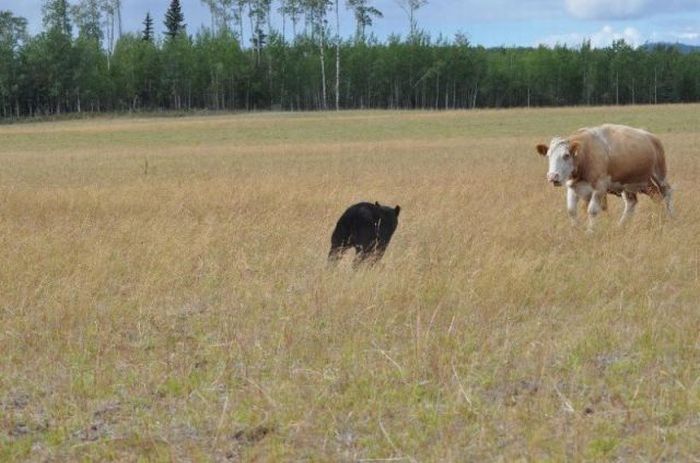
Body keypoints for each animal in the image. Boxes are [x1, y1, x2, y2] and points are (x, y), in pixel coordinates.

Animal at [536, 124, 672, 231]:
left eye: (566, 155)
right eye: (548, 155)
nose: (552, 176)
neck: (585, 154)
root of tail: (651, 136)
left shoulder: (599, 188)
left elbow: (592, 210)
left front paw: (590, 231)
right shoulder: (573, 187)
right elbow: (571, 210)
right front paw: (575, 230)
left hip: (659, 173)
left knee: (667, 191)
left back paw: (671, 216)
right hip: (635, 183)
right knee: (639, 200)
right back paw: (621, 225)